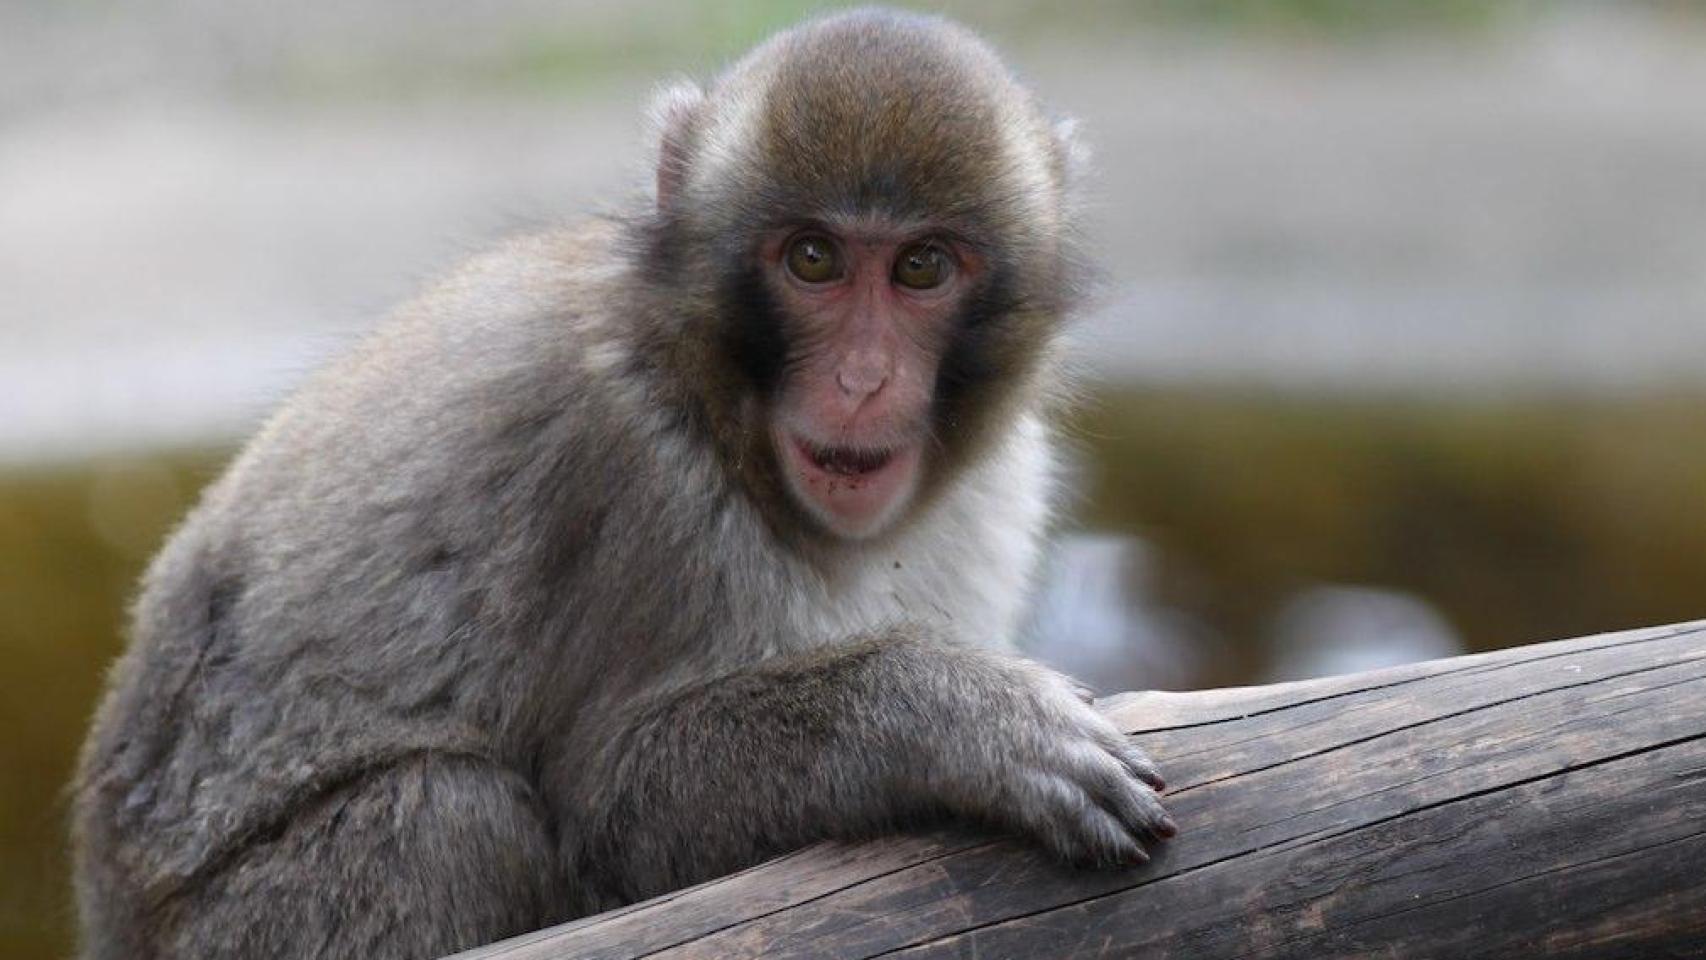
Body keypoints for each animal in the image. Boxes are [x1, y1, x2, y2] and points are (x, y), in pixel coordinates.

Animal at [71, 8, 1174, 959]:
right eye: (813, 258)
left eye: (920, 268)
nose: (863, 380)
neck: (707, 391)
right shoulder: (630, 473)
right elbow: (616, 805)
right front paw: (963, 723)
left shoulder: (1003, 484)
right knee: (450, 817)